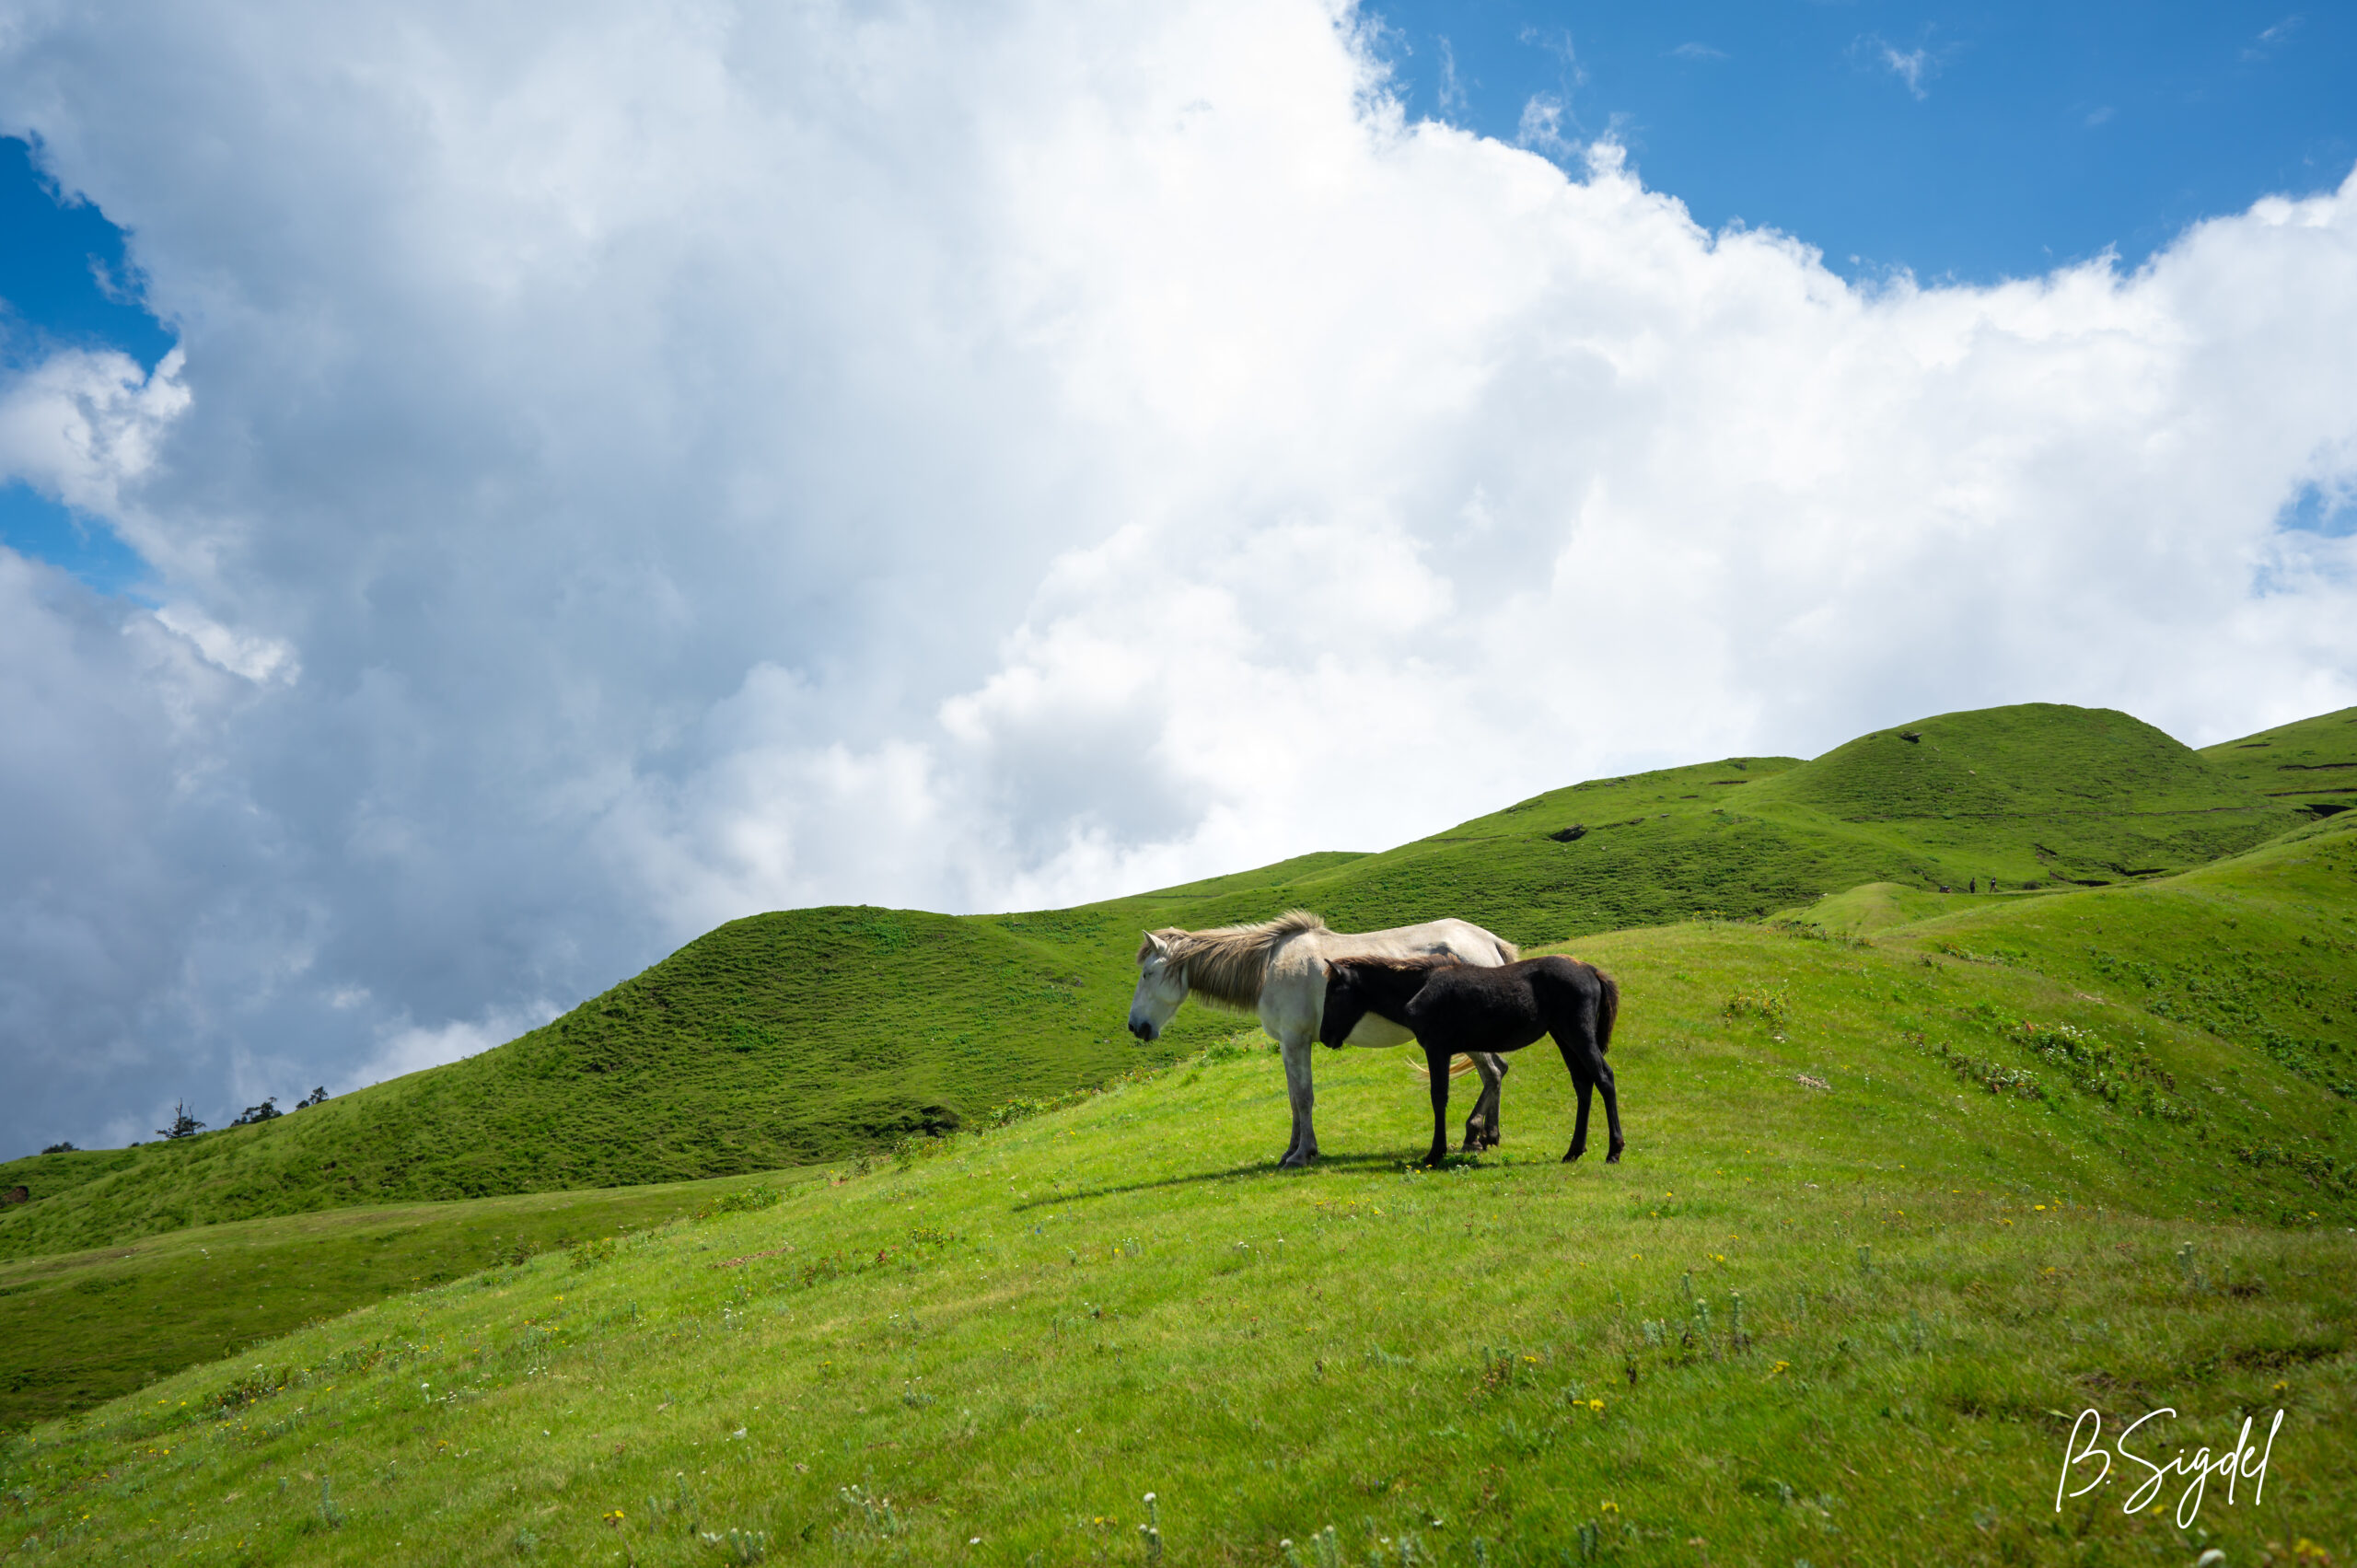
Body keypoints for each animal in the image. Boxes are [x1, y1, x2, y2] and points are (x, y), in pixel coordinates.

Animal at [1131, 905, 1517, 1159]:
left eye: (1147, 974)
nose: (1135, 1027)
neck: (1269, 967)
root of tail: (1488, 941)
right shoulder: (1289, 1046)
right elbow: (1292, 1099)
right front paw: (1290, 1152)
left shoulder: (1296, 1042)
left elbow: (1303, 1098)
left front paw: (1304, 1153)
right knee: (1497, 1071)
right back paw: (1487, 1136)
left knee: (1492, 1072)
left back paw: (1474, 1135)